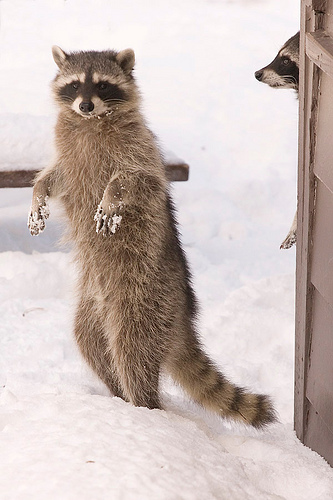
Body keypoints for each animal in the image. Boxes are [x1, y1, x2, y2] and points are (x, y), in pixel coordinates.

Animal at [27, 47, 274, 428]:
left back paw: (145, 409)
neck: (91, 122)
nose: (85, 105)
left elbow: (137, 179)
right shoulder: (68, 153)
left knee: (132, 350)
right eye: (74, 85)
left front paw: (111, 195)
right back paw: (119, 396)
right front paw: (38, 194)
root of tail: (183, 317)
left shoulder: (139, 148)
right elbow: (54, 176)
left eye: (102, 84)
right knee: (93, 344)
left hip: (144, 297)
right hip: (96, 306)